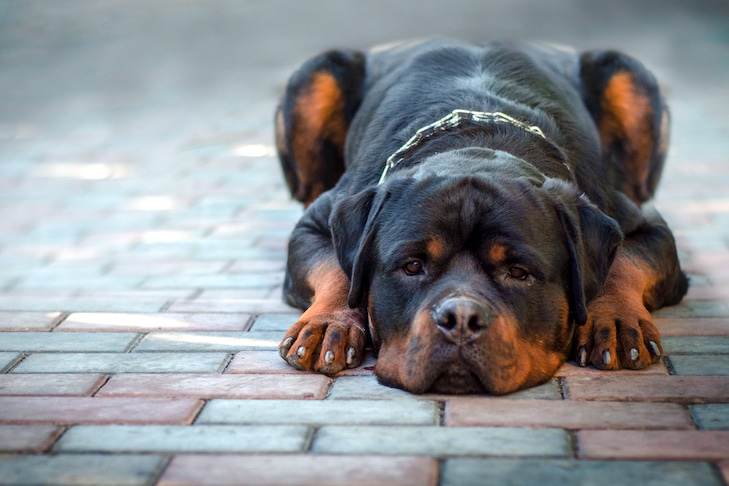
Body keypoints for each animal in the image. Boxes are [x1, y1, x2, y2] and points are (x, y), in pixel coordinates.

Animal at [270, 38, 684, 394]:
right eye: (412, 266)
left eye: (518, 272)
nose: (461, 318)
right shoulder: (319, 220)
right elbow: (338, 268)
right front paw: (330, 322)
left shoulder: (643, 222)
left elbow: (624, 262)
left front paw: (614, 318)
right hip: (315, 77)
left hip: (627, 76)